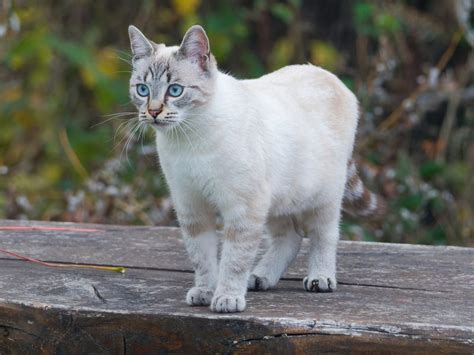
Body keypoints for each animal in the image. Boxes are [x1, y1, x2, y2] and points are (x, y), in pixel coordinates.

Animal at [127, 25, 386, 312]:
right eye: (142, 90)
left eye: (174, 90)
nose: (153, 112)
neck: (189, 139)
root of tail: (327, 75)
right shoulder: (192, 207)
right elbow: (202, 258)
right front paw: (205, 292)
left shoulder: (244, 208)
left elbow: (233, 260)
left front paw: (227, 298)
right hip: (278, 199)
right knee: (290, 238)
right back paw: (259, 277)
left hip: (322, 198)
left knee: (324, 235)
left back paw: (320, 279)